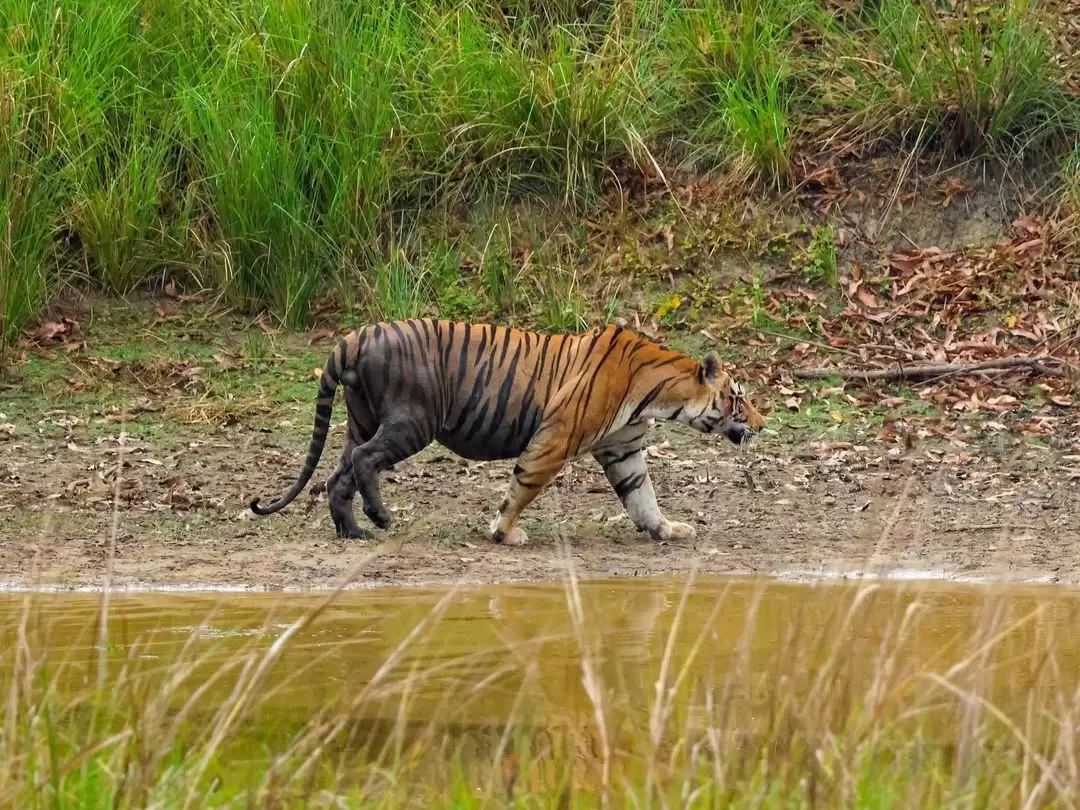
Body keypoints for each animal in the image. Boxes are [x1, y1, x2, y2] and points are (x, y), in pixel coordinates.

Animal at [250, 319, 766, 546]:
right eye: (739, 398)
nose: (762, 425)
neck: (659, 393)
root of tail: (354, 336)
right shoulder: (556, 439)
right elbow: (524, 484)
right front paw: (504, 532)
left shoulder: (623, 450)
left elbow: (643, 497)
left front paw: (667, 529)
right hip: (411, 422)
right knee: (363, 462)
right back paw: (379, 519)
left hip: (360, 420)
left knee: (337, 475)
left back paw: (352, 531)